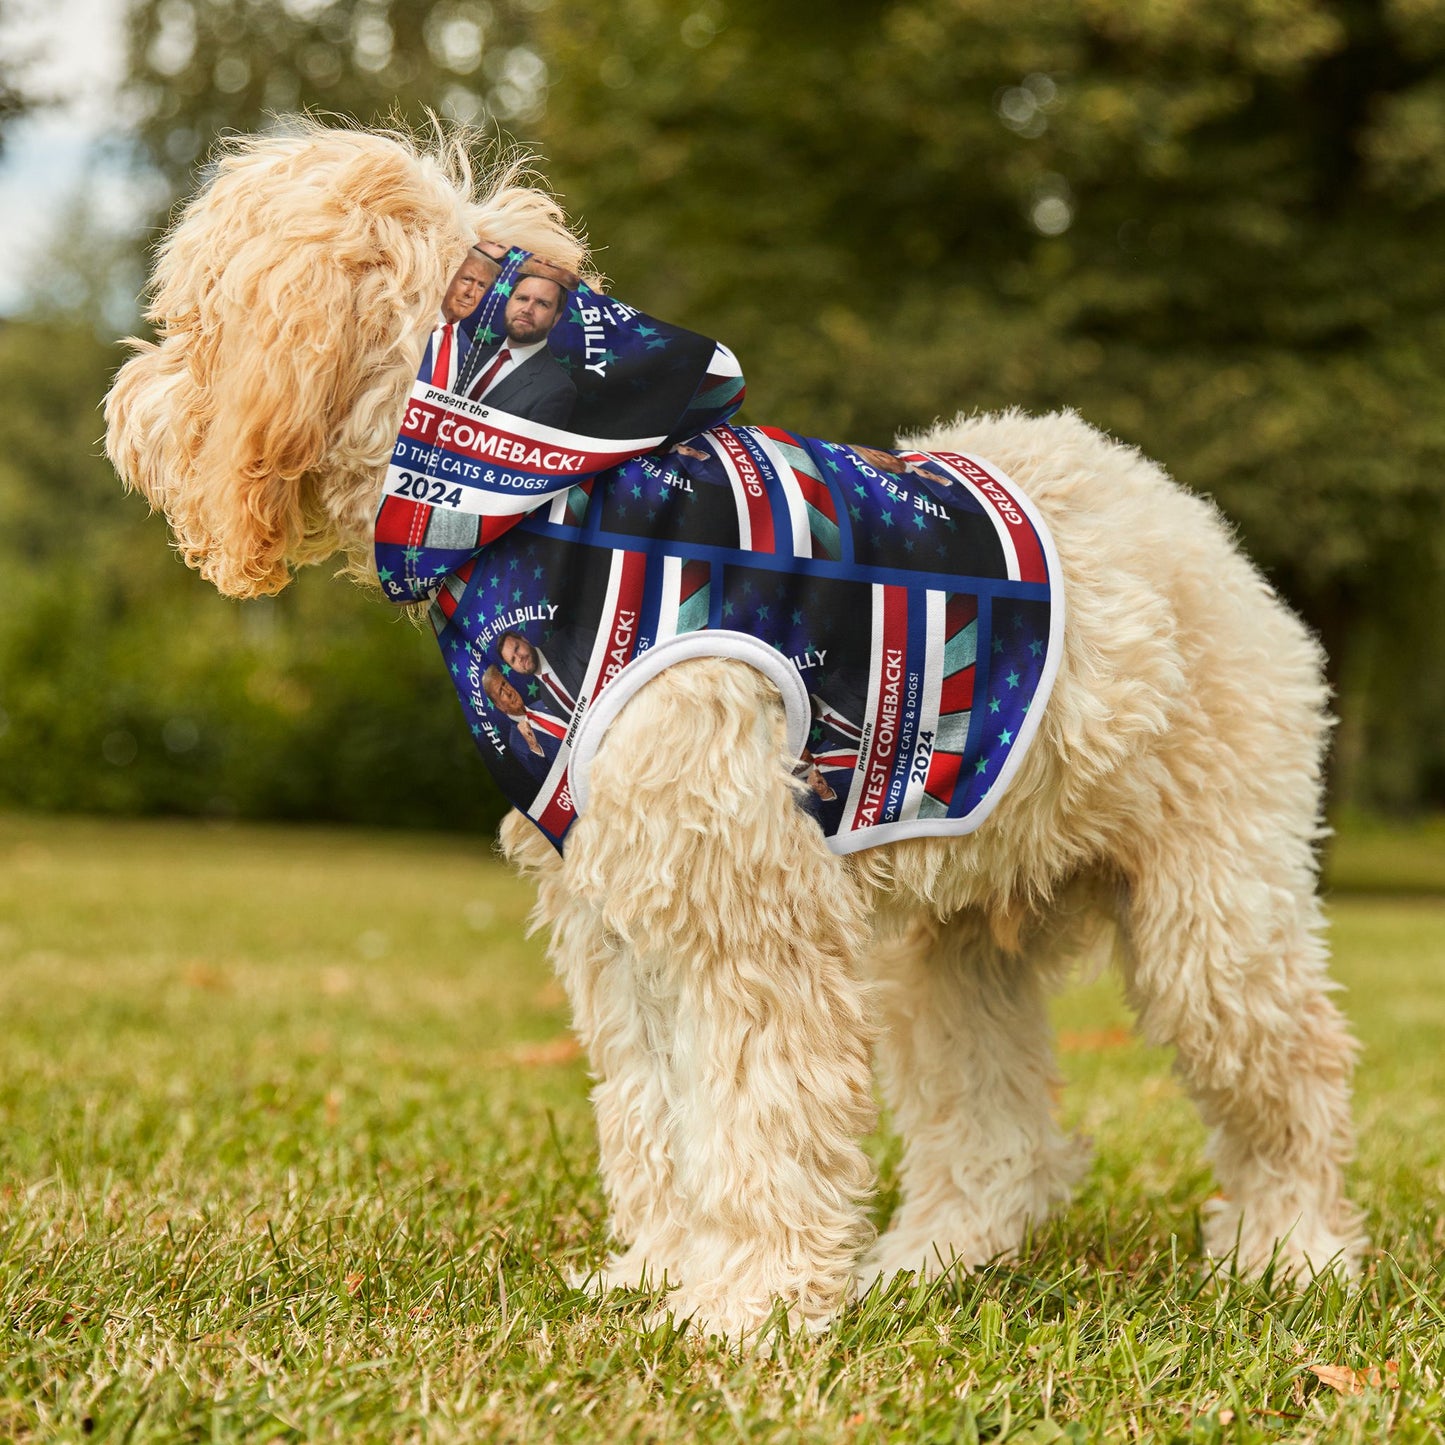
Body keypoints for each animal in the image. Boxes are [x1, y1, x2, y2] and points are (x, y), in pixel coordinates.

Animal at [104, 127, 1364, 1340]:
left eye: (193, 322)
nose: (124, 408)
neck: (535, 490)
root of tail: (1188, 519)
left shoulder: (744, 906)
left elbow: (759, 1110)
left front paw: (748, 1303)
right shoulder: (620, 914)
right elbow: (657, 1112)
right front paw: (662, 1272)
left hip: (1212, 914)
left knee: (1293, 1077)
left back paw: (1290, 1251)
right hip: (949, 948)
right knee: (995, 1133)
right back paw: (929, 1260)